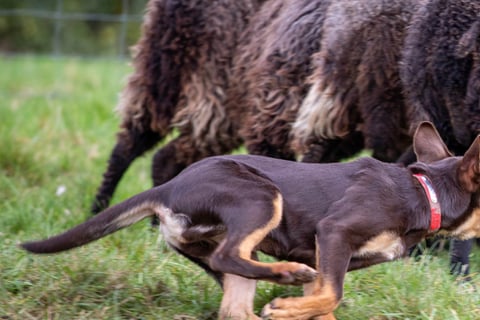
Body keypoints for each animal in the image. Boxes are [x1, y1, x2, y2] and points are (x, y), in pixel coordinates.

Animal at [20, 121, 480, 318]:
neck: (426, 192)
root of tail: (166, 189)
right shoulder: (334, 234)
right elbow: (332, 295)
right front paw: (286, 307)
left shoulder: (323, 256)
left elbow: (322, 303)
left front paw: (294, 311)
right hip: (260, 196)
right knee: (228, 258)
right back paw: (284, 274)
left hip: (232, 243)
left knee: (233, 304)